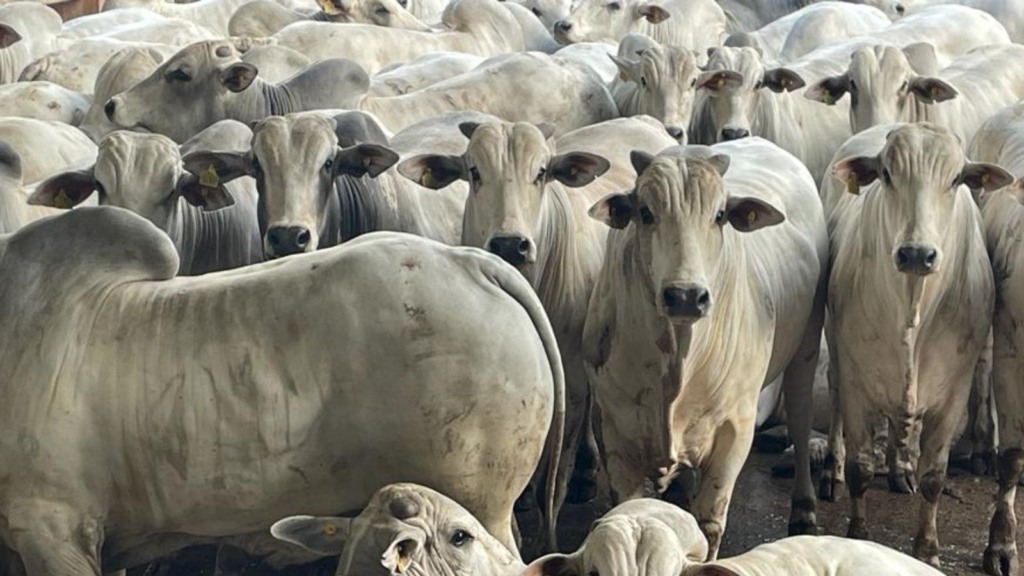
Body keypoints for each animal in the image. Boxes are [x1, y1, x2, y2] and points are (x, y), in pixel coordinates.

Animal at [581, 135, 827, 557]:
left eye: (719, 215)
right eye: (645, 212)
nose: (685, 296)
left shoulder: (735, 429)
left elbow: (709, 522)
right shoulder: (613, 426)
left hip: (807, 346)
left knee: (799, 415)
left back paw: (805, 509)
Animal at [819, 121, 1003, 565]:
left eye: (955, 179)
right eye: (886, 174)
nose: (917, 254)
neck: (912, 306)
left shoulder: (954, 393)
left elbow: (934, 476)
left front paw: (928, 549)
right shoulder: (857, 384)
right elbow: (861, 468)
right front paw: (858, 534)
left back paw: (901, 468)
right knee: (835, 404)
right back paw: (832, 469)